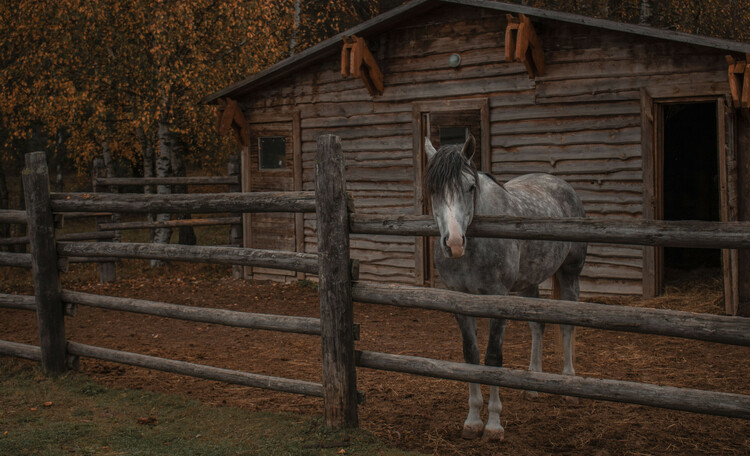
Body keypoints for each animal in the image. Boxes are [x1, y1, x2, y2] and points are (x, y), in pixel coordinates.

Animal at [426, 136, 592, 442]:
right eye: (433, 189)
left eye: (470, 187)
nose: (454, 243)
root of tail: (562, 185)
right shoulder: (460, 301)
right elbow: (471, 355)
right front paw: (472, 421)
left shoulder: (498, 299)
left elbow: (493, 358)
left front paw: (493, 425)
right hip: (530, 283)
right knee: (538, 327)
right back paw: (533, 384)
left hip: (569, 274)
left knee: (567, 325)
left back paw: (569, 384)